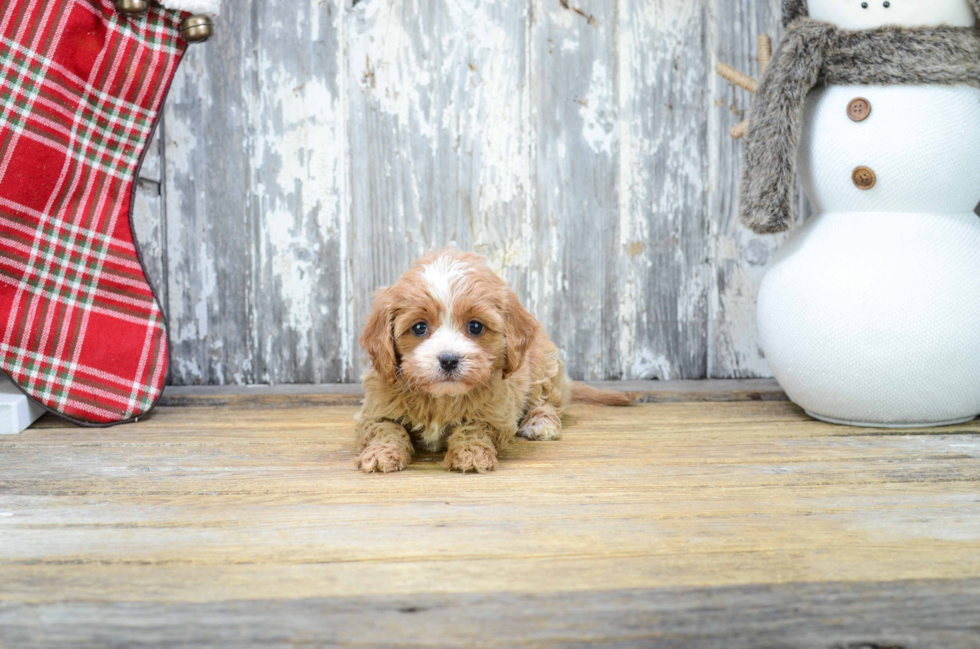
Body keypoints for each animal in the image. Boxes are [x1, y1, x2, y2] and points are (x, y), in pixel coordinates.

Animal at [352, 247, 636, 470]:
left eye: (475, 327)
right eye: (419, 328)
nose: (448, 359)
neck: (442, 398)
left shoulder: (497, 413)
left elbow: (474, 428)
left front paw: (470, 455)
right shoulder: (376, 407)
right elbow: (386, 428)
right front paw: (380, 454)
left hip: (543, 365)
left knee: (548, 401)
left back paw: (541, 423)